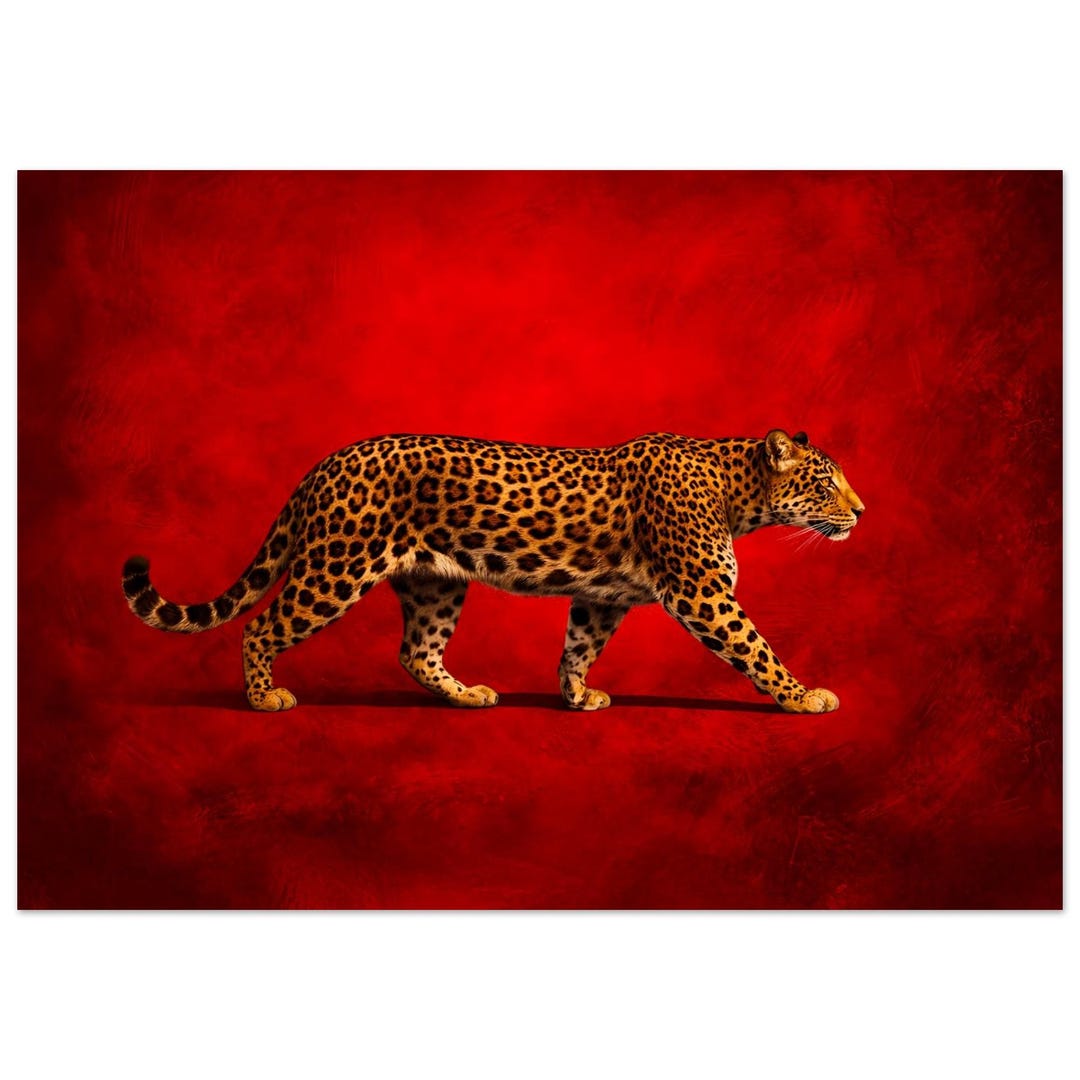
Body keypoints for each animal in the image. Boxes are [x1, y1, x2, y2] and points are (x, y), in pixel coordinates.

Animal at [123, 429, 864, 714]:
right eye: (826, 482)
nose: (861, 511)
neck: (739, 493)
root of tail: (326, 461)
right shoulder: (703, 593)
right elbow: (757, 650)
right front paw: (804, 697)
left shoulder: (604, 598)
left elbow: (578, 646)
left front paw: (576, 697)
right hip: (335, 568)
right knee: (260, 626)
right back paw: (264, 697)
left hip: (434, 583)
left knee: (415, 651)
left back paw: (467, 694)